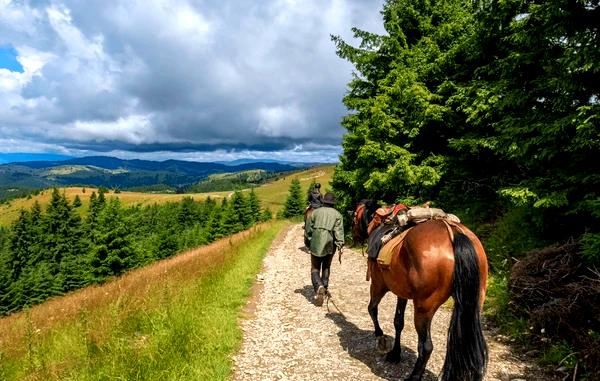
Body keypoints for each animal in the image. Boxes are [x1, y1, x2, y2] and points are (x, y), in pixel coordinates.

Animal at [352, 200, 488, 378]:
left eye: (354, 215)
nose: (353, 235)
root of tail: (453, 232)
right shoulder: (401, 293)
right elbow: (398, 322)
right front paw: (395, 353)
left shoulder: (377, 285)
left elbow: (372, 309)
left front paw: (380, 336)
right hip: (475, 303)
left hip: (424, 308)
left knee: (426, 347)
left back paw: (414, 376)